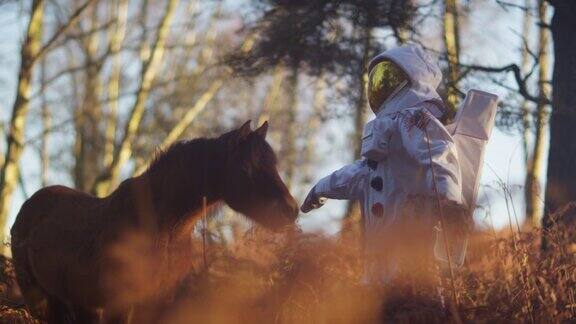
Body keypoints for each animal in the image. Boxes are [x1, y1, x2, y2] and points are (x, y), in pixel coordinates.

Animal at [10, 121, 296, 322]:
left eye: (274, 165)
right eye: (247, 168)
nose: (291, 210)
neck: (163, 227)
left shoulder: (159, 304)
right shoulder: (119, 305)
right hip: (43, 300)